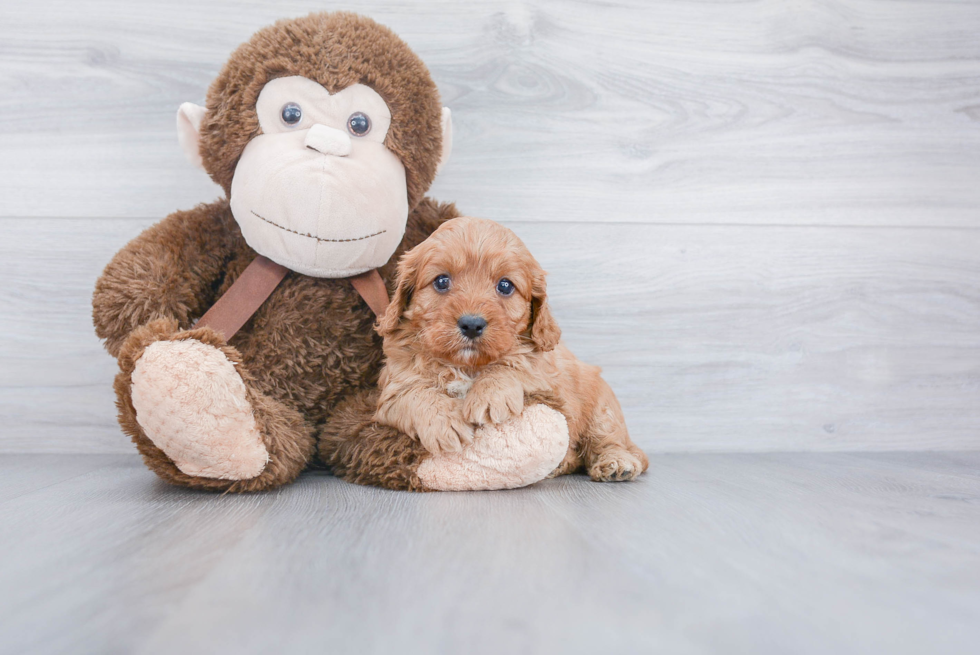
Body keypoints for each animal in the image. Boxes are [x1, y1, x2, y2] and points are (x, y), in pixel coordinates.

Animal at [372, 217, 648, 482]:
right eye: (441, 281)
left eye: (505, 286)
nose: (471, 324)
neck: (467, 366)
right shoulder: (393, 389)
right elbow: (414, 393)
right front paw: (444, 423)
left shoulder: (546, 379)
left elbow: (515, 365)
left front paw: (489, 394)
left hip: (603, 408)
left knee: (608, 441)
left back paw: (616, 463)